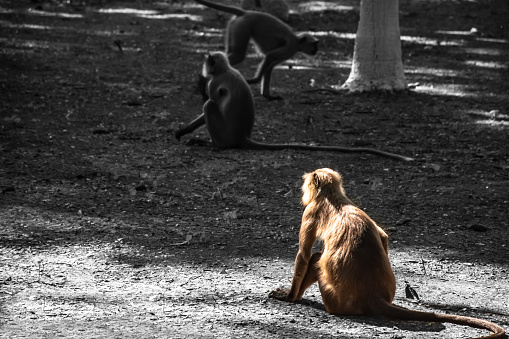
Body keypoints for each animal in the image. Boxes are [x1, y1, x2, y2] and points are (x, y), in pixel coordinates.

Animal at [175, 52, 412, 163]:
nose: (203, 69)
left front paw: (185, 130)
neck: (226, 70)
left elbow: (210, 99)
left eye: (207, 64)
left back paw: (212, 144)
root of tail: (243, 136)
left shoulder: (214, 82)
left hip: (224, 134)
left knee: (210, 105)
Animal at [270, 169, 504, 339]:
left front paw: (289, 297)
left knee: (317, 258)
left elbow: (304, 254)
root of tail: (373, 295)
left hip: (335, 300)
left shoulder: (311, 211)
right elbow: (382, 236)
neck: (334, 198)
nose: (303, 191)